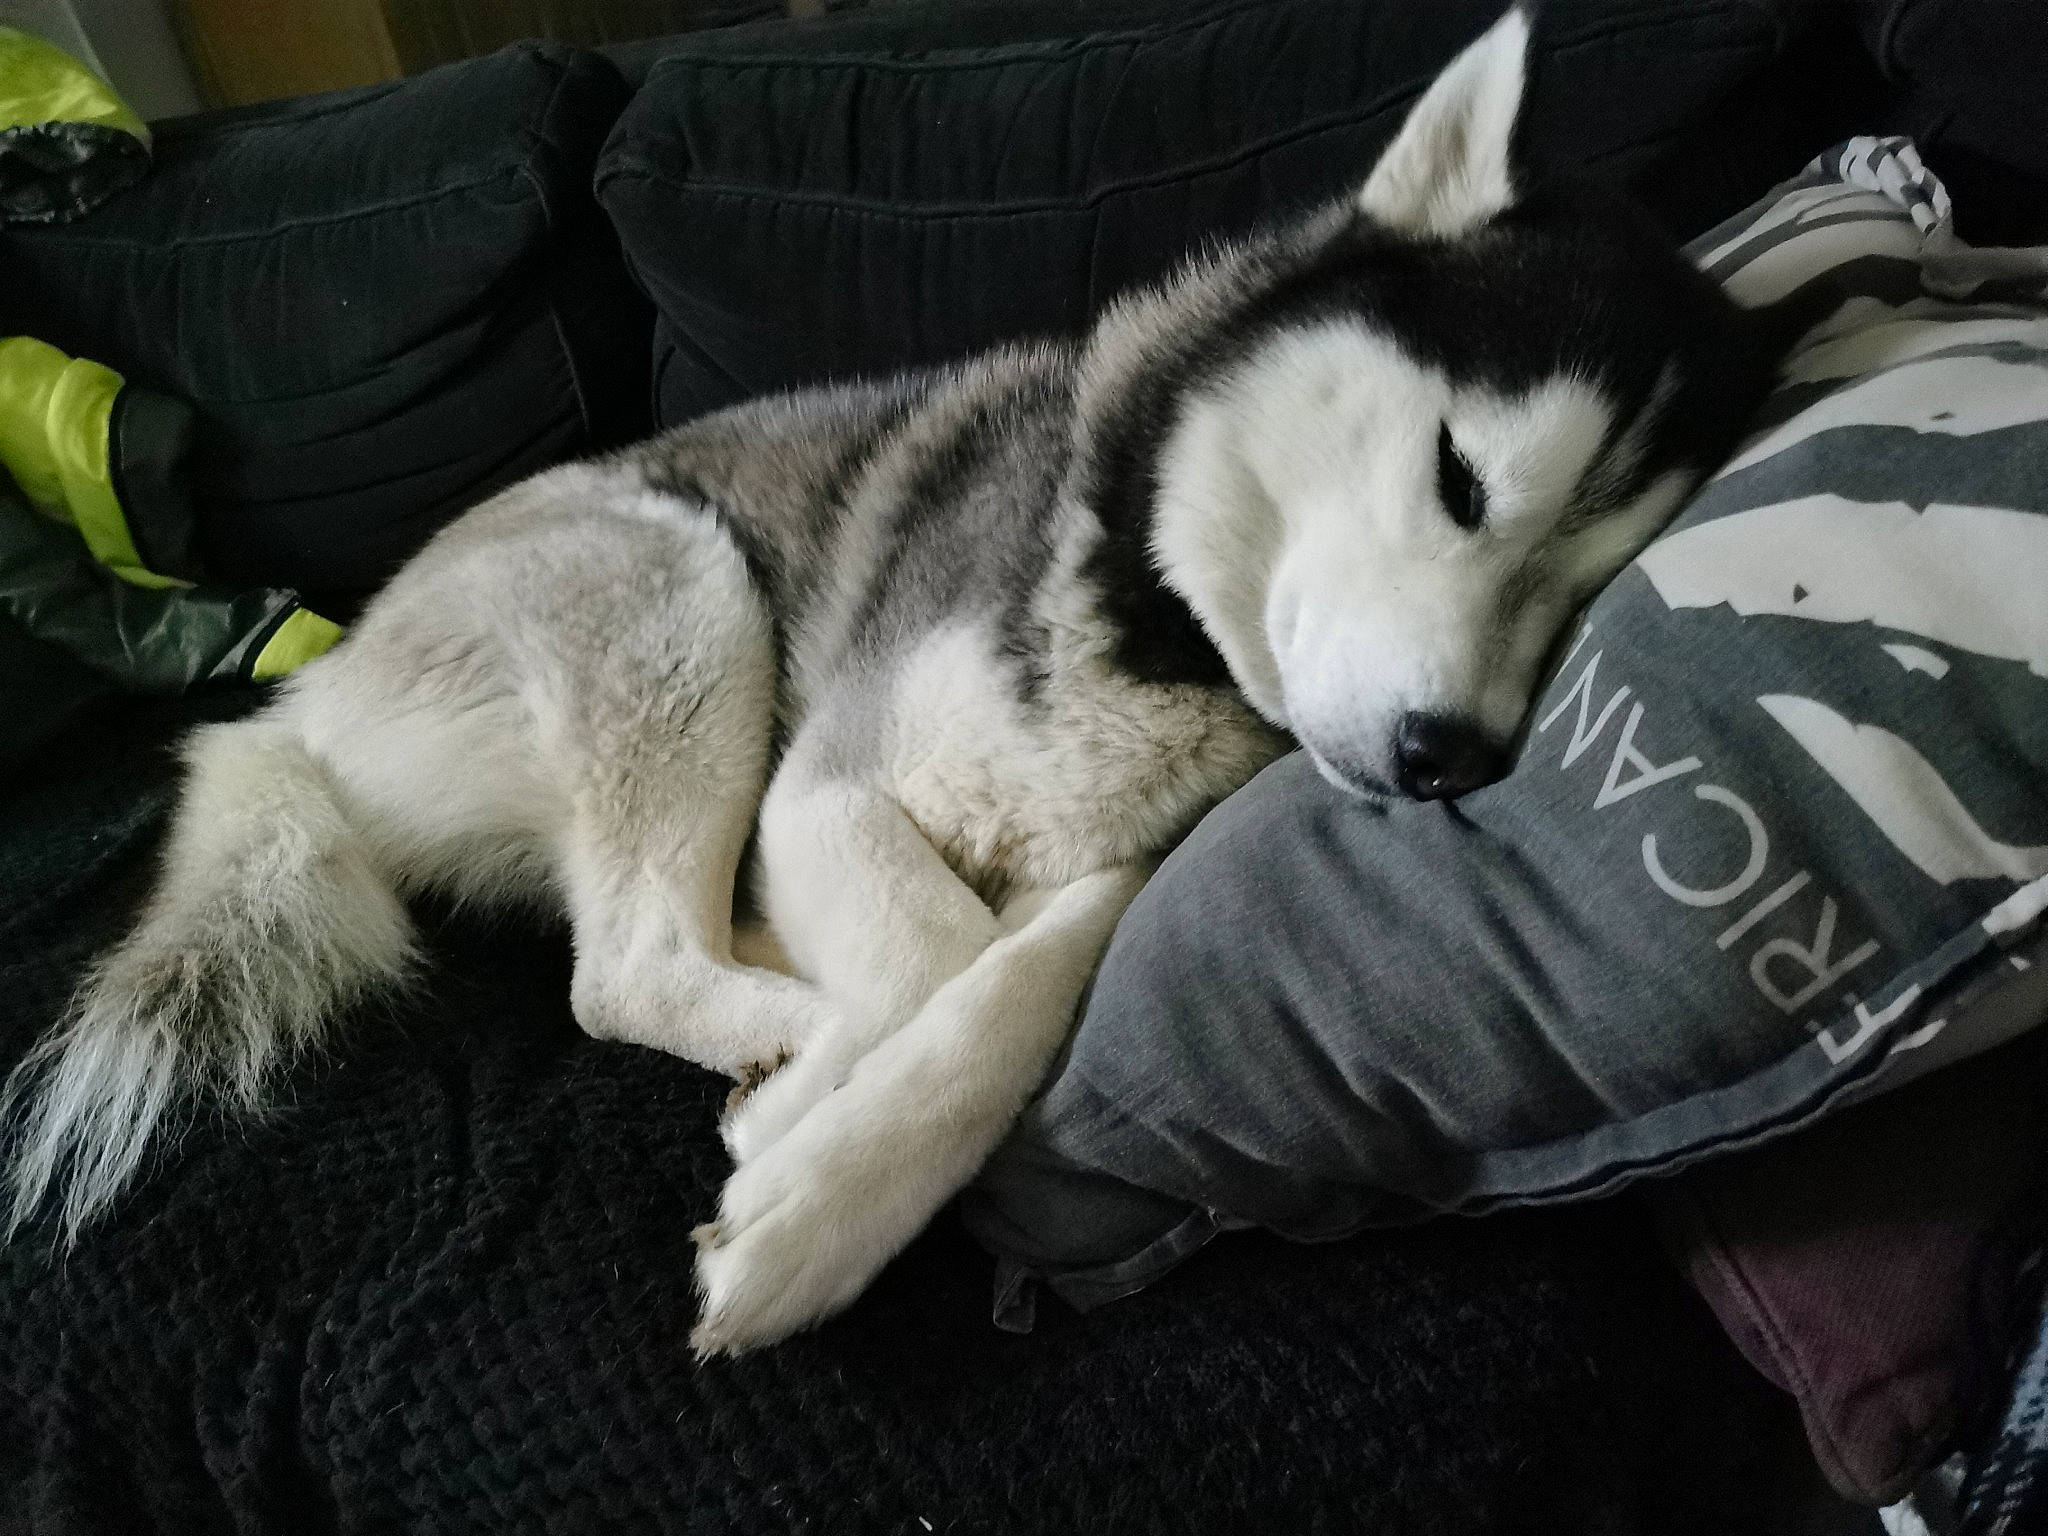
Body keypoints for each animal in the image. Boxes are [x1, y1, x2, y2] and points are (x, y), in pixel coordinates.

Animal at [1, 8, 1782, 1353]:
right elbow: (939, 959)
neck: (1152, 620)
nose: (1446, 756)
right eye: (1463, 479)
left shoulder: (1109, 856)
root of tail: (299, 707)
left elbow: (1029, 970)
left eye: (1579, 588)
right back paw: (776, 1039)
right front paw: (809, 1167)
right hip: (680, 589)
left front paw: (827, 1157)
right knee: (623, 966)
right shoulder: (832, 779)